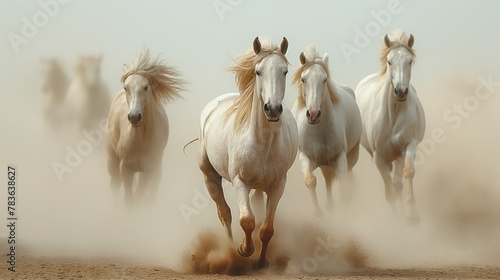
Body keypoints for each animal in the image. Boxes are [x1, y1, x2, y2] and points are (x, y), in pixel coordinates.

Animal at [197, 37, 298, 266]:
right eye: (258, 71)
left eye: (285, 71)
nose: (272, 109)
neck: (262, 144)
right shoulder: (239, 182)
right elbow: (247, 221)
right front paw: (244, 249)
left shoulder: (278, 185)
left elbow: (266, 228)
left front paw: (261, 262)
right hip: (210, 176)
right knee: (225, 214)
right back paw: (231, 252)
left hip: (260, 187)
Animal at [292, 45, 362, 217]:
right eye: (303, 79)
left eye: (324, 79)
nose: (313, 113)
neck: (319, 131)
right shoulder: (305, 157)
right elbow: (310, 180)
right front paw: (318, 212)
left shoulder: (340, 157)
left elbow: (344, 186)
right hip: (324, 163)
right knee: (328, 179)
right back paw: (329, 206)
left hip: (352, 154)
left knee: (348, 175)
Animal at [356, 29, 426, 224]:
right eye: (389, 61)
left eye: (409, 61)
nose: (400, 91)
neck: (393, 111)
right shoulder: (379, 155)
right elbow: (389, 191)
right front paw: (395, 221)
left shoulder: (408, 144)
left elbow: (406, 174)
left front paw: (411, 214)